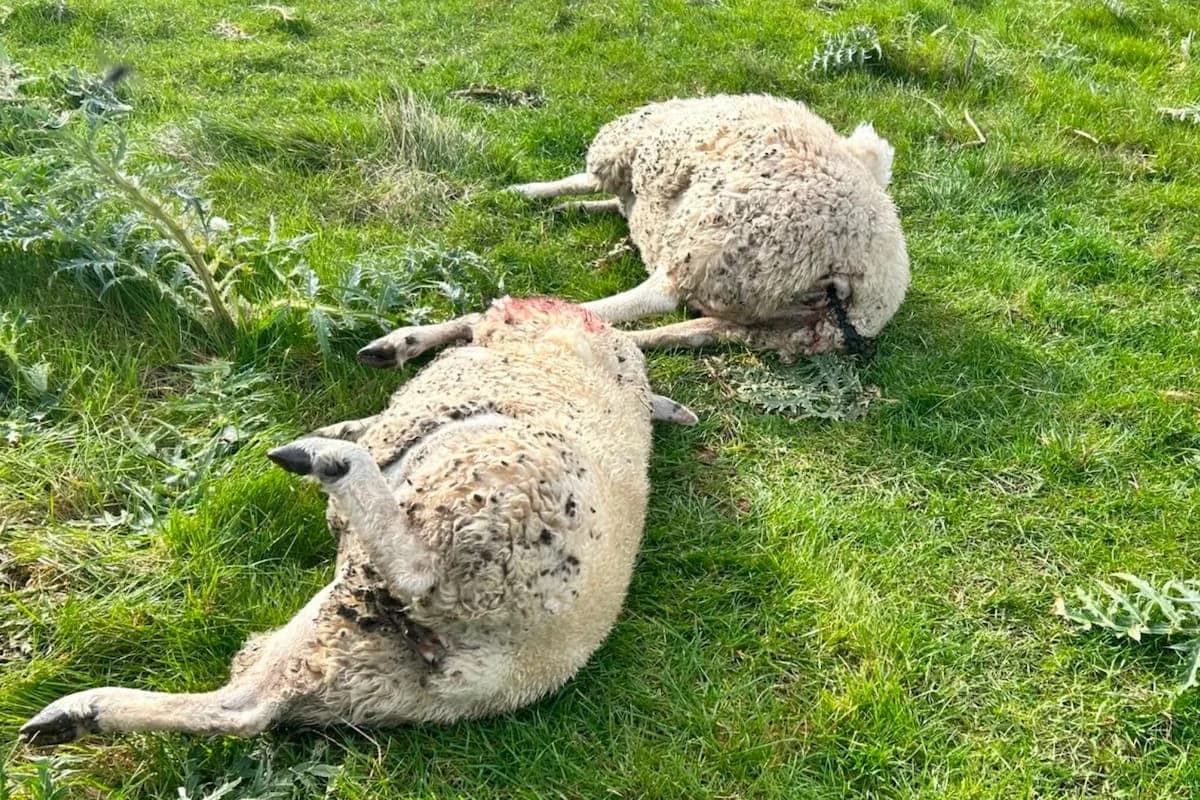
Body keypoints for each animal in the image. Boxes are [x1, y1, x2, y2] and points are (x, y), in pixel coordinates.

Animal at [20, 297, 696, 744]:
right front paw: (376, 375)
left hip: (484, 531)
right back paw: (76, 716)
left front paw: (384, 367)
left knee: (417, 569)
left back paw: (331, 462)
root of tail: (501, 666)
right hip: (356, 652)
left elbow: (469, 320)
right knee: (244, 711)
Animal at [356, 94, 909, 369]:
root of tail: (852, 278)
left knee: (641, 302)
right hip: (767, 324)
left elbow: (577, 179)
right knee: (675, 332)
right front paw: (568, 208)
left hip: (717, 252)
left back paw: (411, 340)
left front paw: (526, 192)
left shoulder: (629, 159)